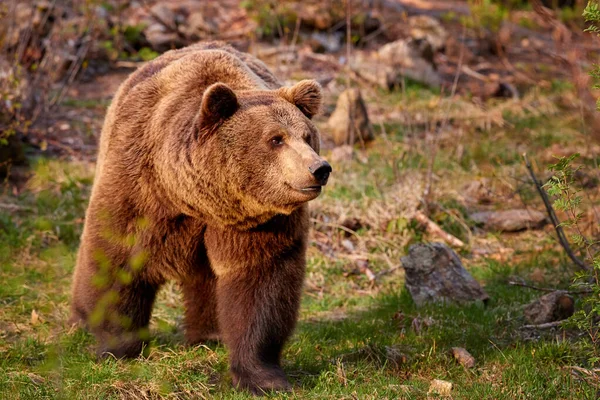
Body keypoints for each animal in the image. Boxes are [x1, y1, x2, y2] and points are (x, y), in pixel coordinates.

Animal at [71, 41, 332, 394]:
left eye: (307, 136)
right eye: (276, 139)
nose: (319, 168)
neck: (195, 198)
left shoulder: (258, 223)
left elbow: (260, 284)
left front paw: (264, 377)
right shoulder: (138, 190)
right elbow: (117, 260)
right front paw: (117, 347)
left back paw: (210, 335)